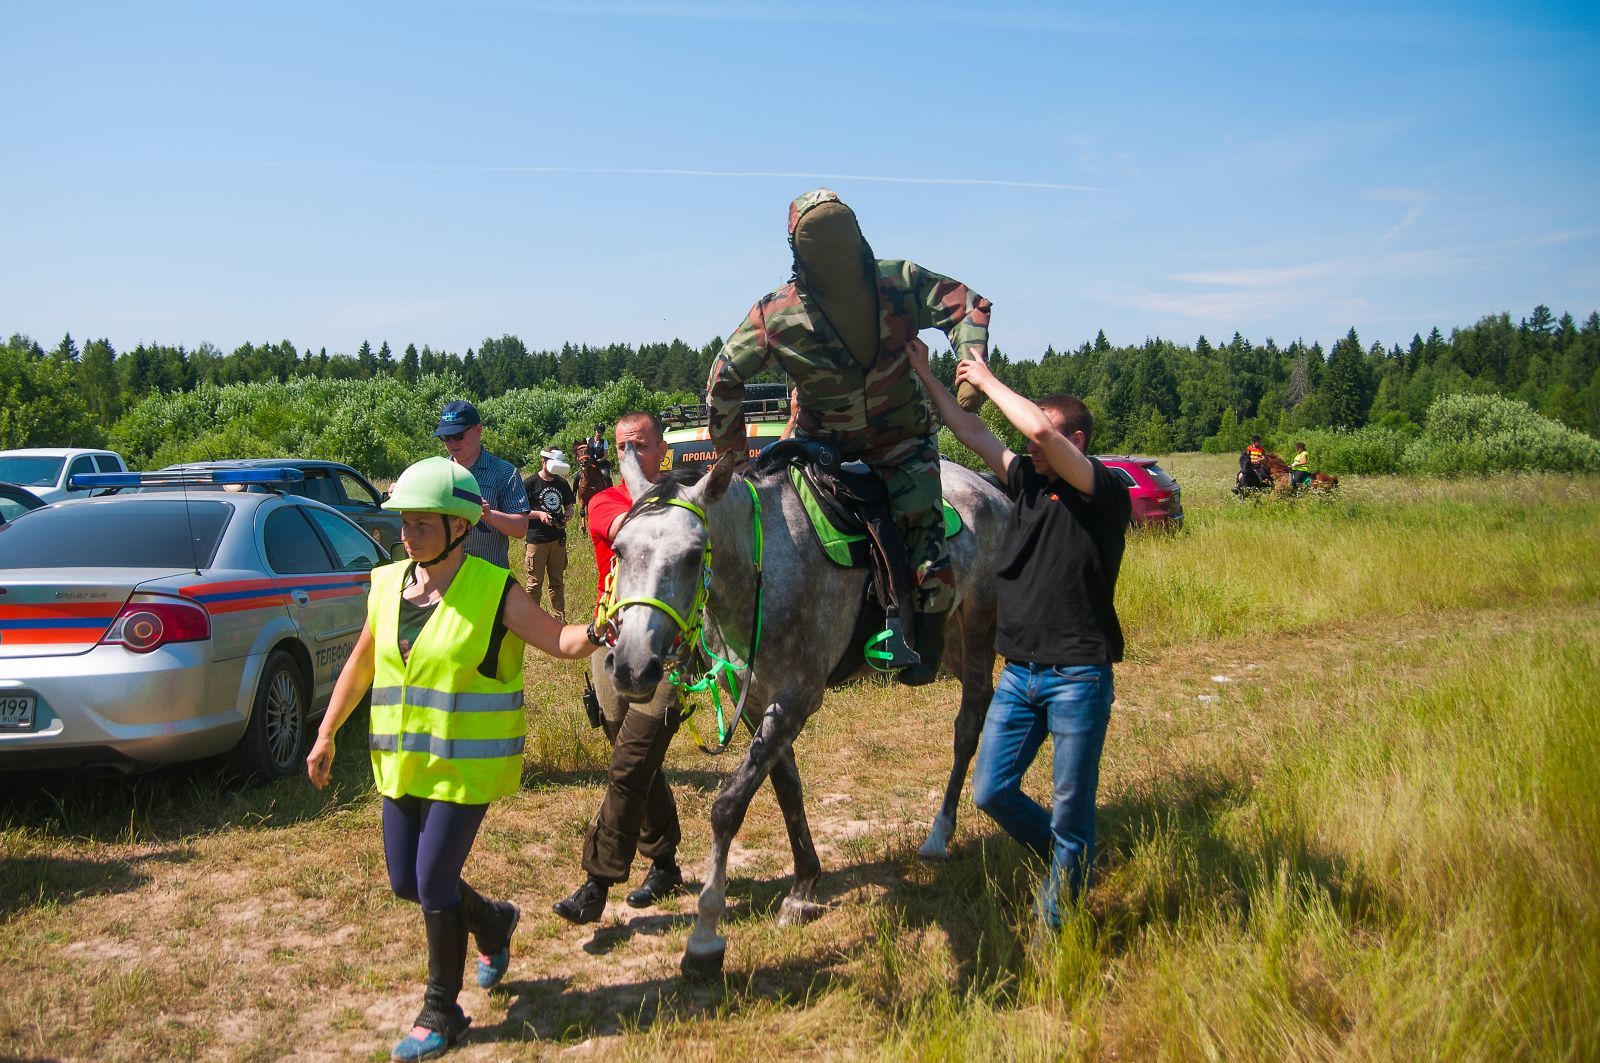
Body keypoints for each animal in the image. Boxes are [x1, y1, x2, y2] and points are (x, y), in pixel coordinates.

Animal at [601, 445, 1011, 973]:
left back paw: (942, 832)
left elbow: (728, 807)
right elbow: (787, 790)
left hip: (979, 628)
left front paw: (706, 935)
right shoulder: (755, 701)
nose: (633, 666)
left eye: (693, 556)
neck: (762, 568)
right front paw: (803, 887)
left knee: (968, 724)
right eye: (619, 550)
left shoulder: (796, 698)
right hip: (953, 640)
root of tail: (991, 488)